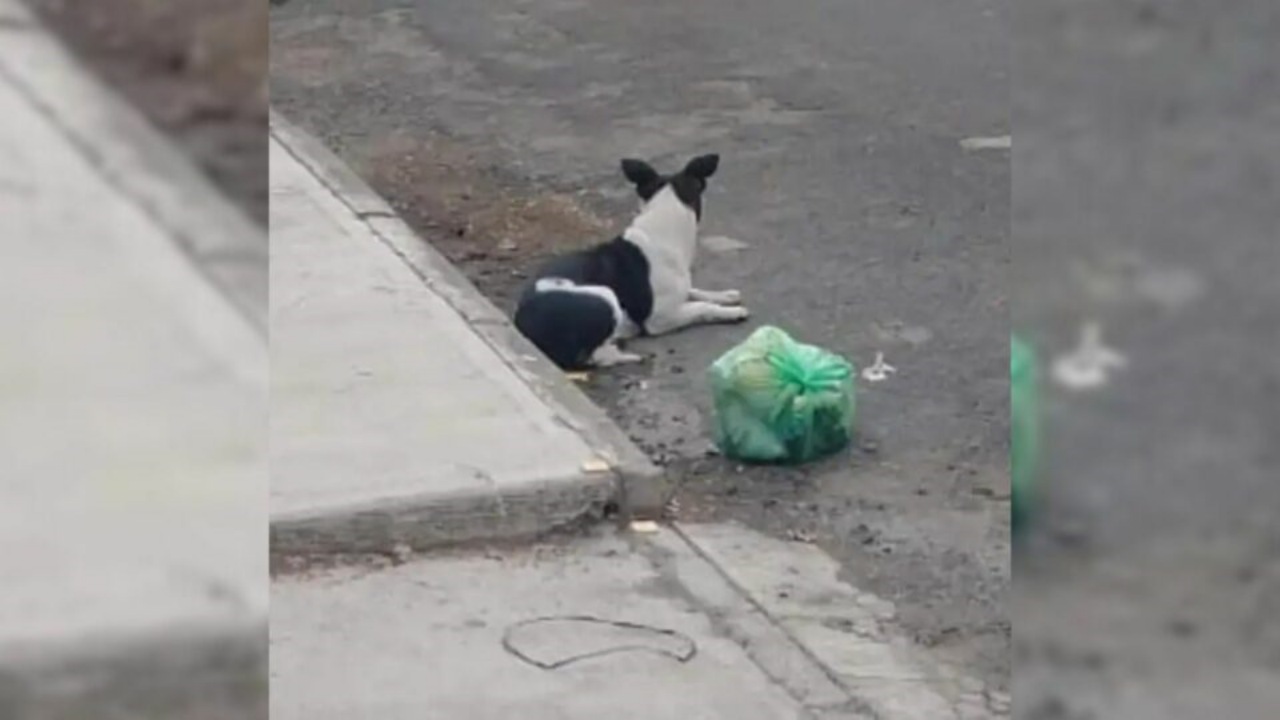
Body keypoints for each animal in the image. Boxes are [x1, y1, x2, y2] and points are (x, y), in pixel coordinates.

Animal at [512, 152, 747, 368]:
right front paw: (730, 312)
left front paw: (725, 296)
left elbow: (695, 291)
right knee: (594, 357)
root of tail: (521, 323)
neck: (660, 229)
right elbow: (701, 307)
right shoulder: (660, 318)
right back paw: (629, 355)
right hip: (605, 295)